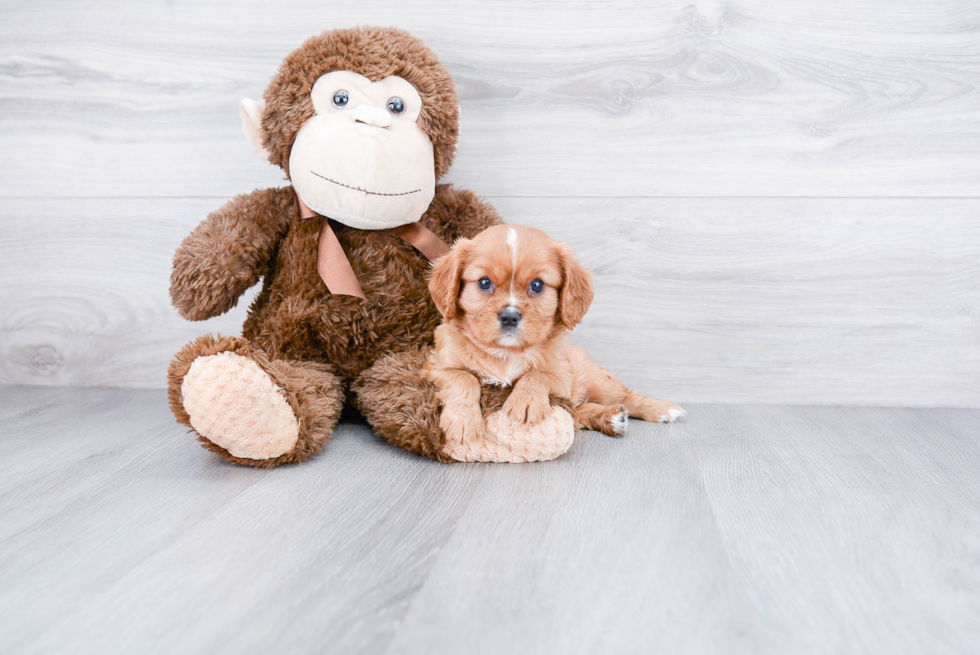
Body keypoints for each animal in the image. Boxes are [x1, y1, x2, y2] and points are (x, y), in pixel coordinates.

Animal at [424, 223, 684, 444]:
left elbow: (537, 374)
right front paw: (463, 421)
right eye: (484, 282)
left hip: (599, 380)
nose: (509, 317)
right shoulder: (435, 367)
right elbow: (463, 377)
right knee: (579, 413)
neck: (508, 352)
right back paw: (610, 418)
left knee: (627, 395)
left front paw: (525, 401)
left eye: (537, 285)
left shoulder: (562, 375)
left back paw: (662, 409)